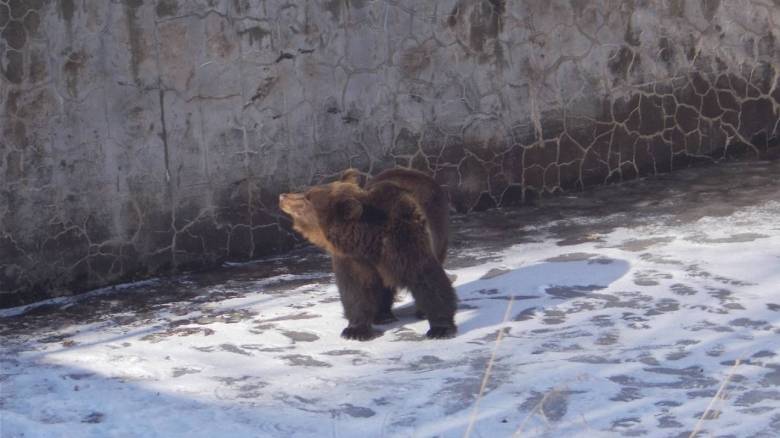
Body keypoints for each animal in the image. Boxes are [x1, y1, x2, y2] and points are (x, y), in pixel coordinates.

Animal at [278, 169, 458, 340]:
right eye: (307, 192)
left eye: (308, 198)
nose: (282, 196)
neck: (368, 242)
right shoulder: (354, 260)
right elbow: (356, 290)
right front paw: (355, 330)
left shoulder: (406, 242)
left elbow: (427, 279)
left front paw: (440, 329)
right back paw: (382, 315)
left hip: (439, 228)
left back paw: (419, 312)